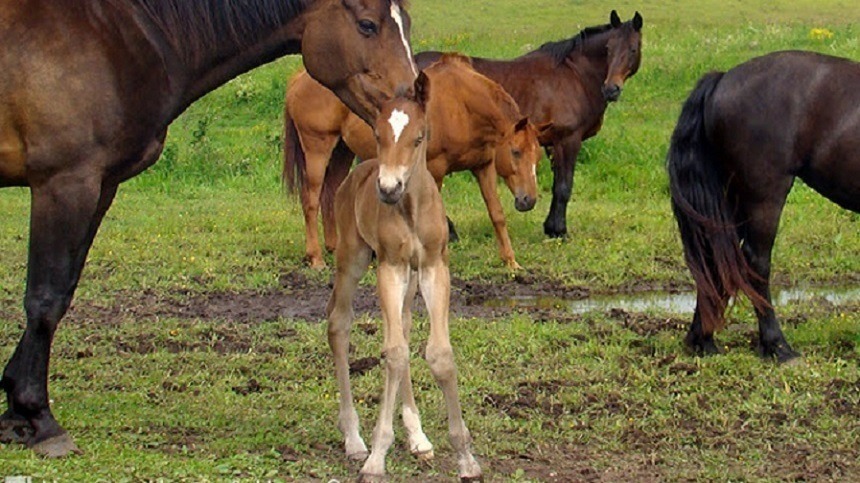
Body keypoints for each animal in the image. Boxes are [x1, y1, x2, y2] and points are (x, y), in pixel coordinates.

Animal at [0, 0, 416, 458]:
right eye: (367, 25)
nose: (411, 103)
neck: (115, 36)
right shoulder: (65, 183)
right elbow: (45, 298)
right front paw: (38, 416)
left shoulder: (100, 186)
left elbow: (64, 290)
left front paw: (14, 409)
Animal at [288, 55, 544, 272]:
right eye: (516, 152)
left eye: (538, 157)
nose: (529, 200)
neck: (462, 104)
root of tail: (299, 78)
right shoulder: (436, 170)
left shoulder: (484, 166)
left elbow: (497, 214)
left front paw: (510, 261)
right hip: (317, 149)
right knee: (311, 200)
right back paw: (315, 257)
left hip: (342, 151)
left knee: (330, 193)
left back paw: (335, 247)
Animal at [324, 73, 484, 482]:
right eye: (378, 134)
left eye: (418, 137)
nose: (388, 188)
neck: (411, 207)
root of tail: (358, 174)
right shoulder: (390, 266)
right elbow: (393, 353)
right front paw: (376, 457)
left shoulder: (432, 267)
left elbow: (437, 354)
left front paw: (465, 457)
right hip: (353, 258)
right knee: (340, 324)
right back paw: (354, 438)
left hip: (408, 279)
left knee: (405, 328)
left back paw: (418, 438)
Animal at [414, 9, 640, 238]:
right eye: (608, 49)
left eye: (632, 49)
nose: (611, 89)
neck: (574, 75)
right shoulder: (568, 140)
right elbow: (564, 186)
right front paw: (559, 231)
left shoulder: (551, 143)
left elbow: (557, 184)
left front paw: (551, 227)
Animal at [668, 51, 856, 364]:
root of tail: (723, 79)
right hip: (763, 198)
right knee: (755, 263)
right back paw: (776, 345)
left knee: (716, 261)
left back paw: (702, 340)